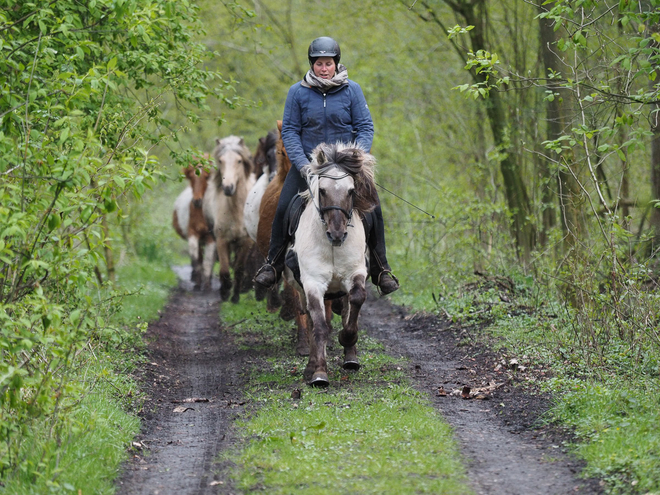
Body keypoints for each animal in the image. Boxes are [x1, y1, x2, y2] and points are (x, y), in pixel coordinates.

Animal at [171, 157, 213, 290]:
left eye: (206, 177)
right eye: (191, 178)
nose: (197, 201)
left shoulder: (211, 237)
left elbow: (208, 261)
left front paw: (207, 285)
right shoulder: (193, 234)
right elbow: (196, 259)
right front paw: (198, 283)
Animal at [201, 135, 255, 302]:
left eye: (239, 161)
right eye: (220, 160)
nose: (228, 188)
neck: (237, 210)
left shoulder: (245, 242)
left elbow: (239, 268)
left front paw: (235, 297)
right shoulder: (222, 240)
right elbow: (224, 269)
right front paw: (225, 291)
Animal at [282, 141, 376, 386]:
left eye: (351, 191)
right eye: (322, 190)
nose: (337, 233)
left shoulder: (355, 274)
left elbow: (356, 301)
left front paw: (347, 339)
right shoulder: (313, 283)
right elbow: (319, 326)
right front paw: (318, 372)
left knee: (347, 310)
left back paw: (350, 359)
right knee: (313, 320)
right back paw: (311, 366)